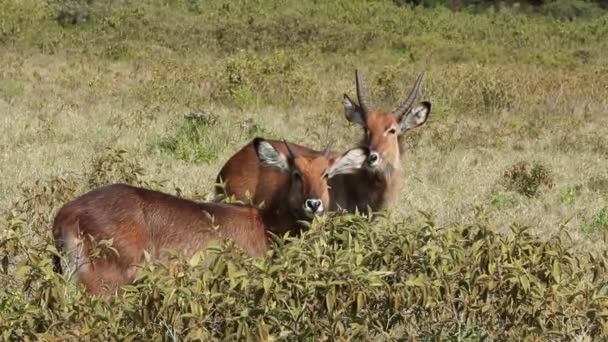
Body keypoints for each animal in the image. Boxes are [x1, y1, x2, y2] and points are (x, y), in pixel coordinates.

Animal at [52, 138, 366, 296]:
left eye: (326, 174)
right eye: (297, 173)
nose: (314, 204)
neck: (265, 224)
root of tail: (66, 212)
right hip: (104, 286)